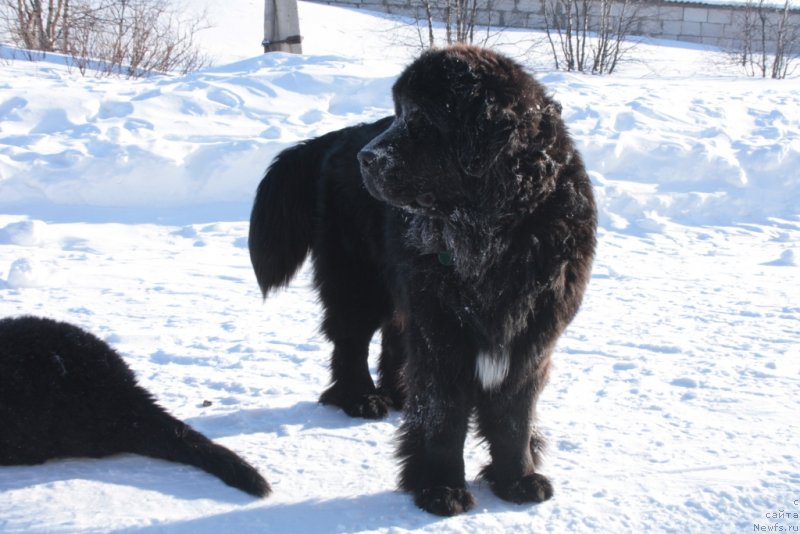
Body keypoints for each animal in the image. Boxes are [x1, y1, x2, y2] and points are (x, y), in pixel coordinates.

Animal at [250, 47, 592, 520]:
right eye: (399, 113)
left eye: (423, 119)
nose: (367, 159)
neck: (495, 236)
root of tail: (338, 138)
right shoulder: (444, 334)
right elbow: (443, 417)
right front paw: (440, 488)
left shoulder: (531, 336)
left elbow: (515, 416)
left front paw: (518, 478)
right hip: (360, 282)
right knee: (350, 341)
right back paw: (361, 398)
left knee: (393, 338)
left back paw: (397, 394)